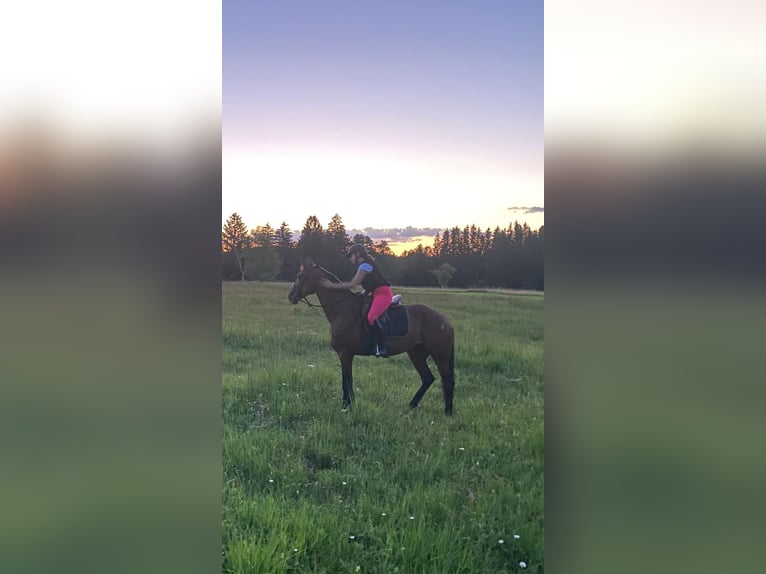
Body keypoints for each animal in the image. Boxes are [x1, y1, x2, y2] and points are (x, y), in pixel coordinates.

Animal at [288, 258, 456, 416]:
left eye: (299, 276)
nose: (291, 296)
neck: (342, 309)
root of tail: (445, 320)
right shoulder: (343, 355)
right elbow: (346, 379)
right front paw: (348, 404)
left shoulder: (345, 353)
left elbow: (347, 380)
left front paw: (347, 406)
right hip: (417, 353)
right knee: (428, 378)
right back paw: (412, 405)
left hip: (440, 356)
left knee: (447, 381)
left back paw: (447, 412)